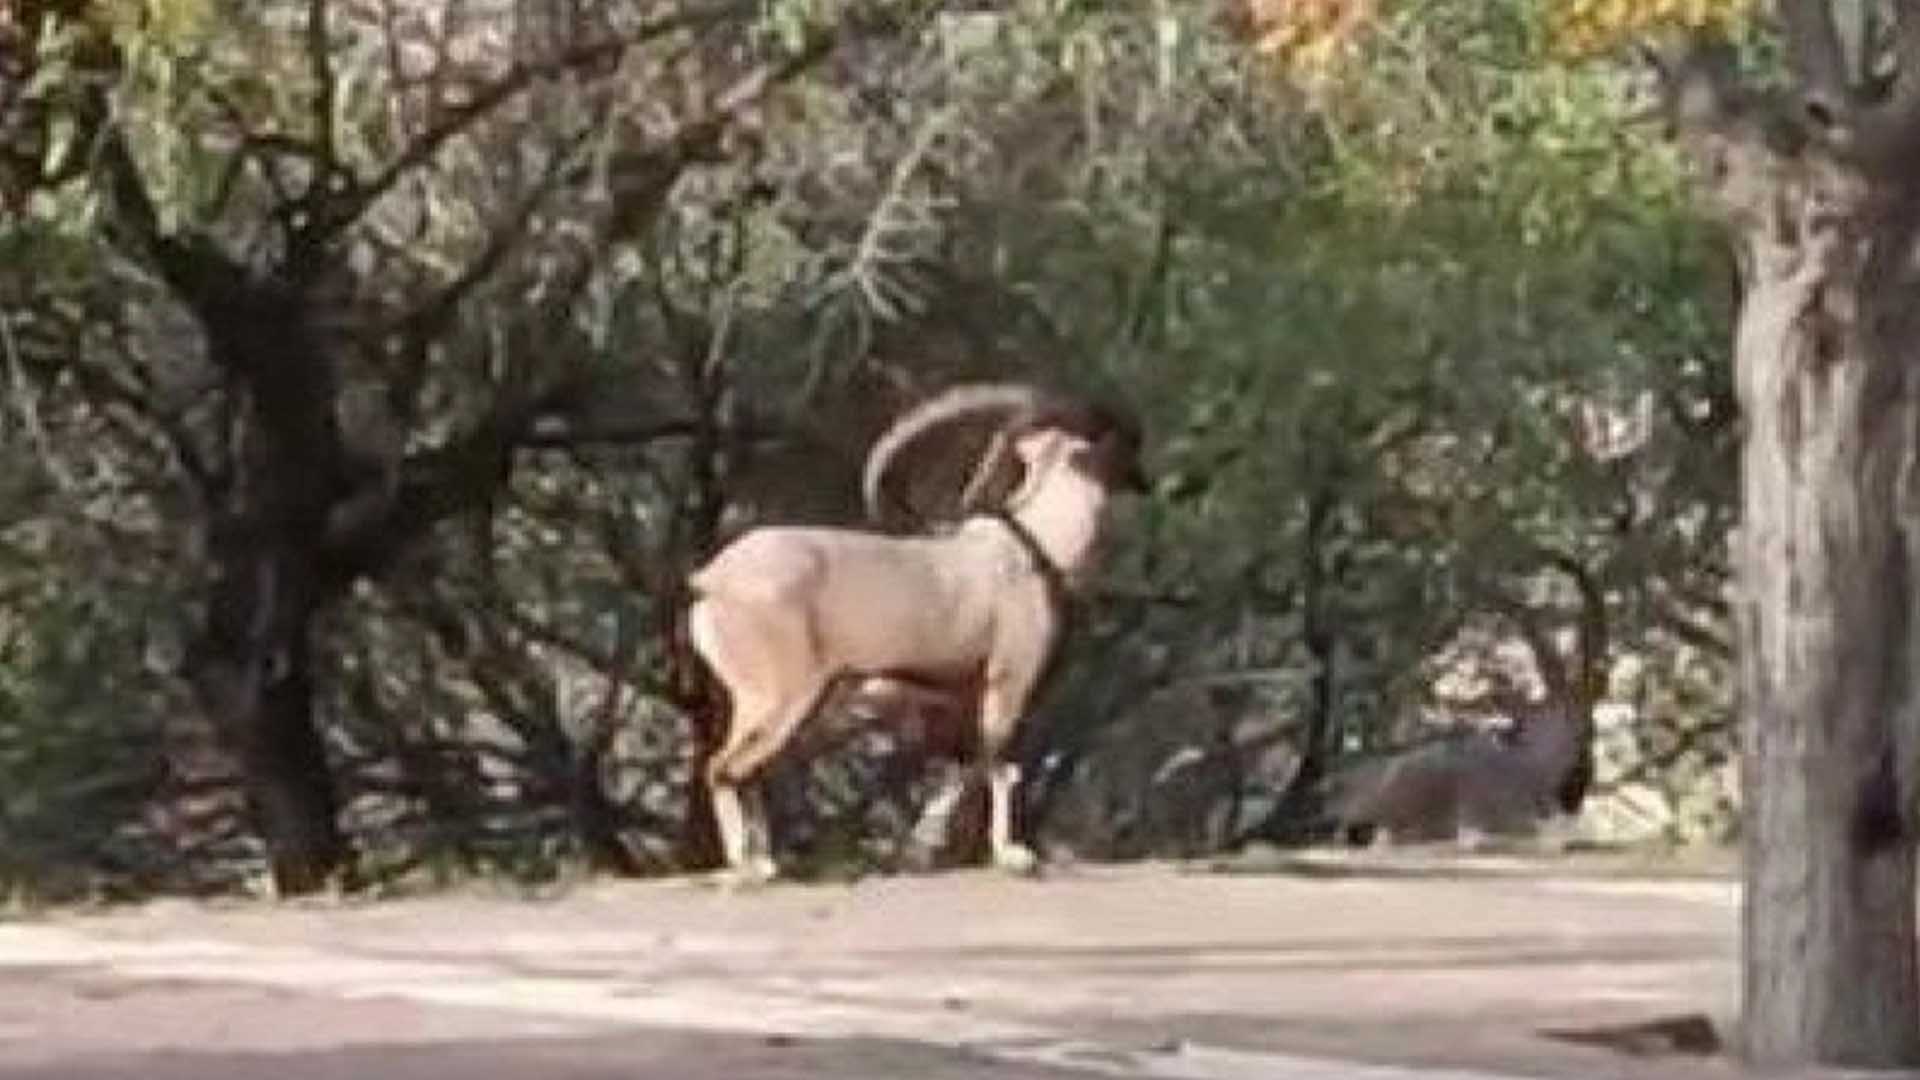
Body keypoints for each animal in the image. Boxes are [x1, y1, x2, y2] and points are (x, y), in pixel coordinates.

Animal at [687, 382, 1136, 880]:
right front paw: (1011, 855)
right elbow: (1001, 761)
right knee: (722, 767)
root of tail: (711, 582)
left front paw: (929, 847)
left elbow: (967, 764)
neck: (1034, 548)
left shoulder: (955, 699)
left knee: (747, 770)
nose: (1141, 477)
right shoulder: (1007, 678)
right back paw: (748, 864)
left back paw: (765, 861)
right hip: (780, 698)